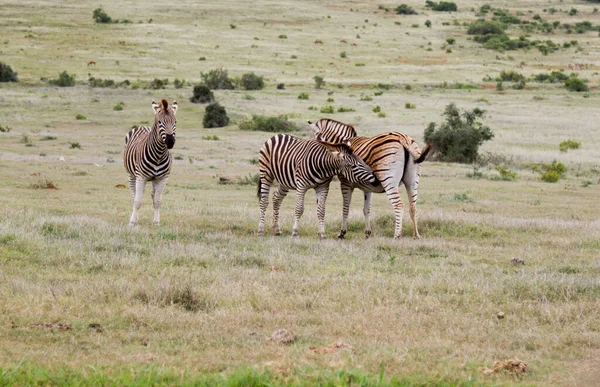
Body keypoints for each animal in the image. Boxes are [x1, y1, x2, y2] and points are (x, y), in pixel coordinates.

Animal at [123, 99, 177, 227]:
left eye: (175, 122)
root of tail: (143, 126)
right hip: (132, 174)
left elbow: (157, 200)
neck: (159, 155)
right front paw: (132, 222)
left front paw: (156, 222)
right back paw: (135, 218)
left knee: (152, 195)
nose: (170, 141)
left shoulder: (162, 178)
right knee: (134, 194)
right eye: (160, 122)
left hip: (153, 179)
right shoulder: (141, 177)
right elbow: (137, 200)